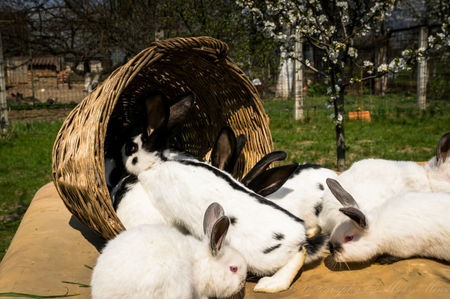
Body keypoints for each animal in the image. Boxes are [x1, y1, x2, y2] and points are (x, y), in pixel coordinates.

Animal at [123, 95, 326, 294]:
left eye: (131, 148)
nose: (121, 151)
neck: (159, 162)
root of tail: (300, 235)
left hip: (265, 259)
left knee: (299, 255)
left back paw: (270, 285)